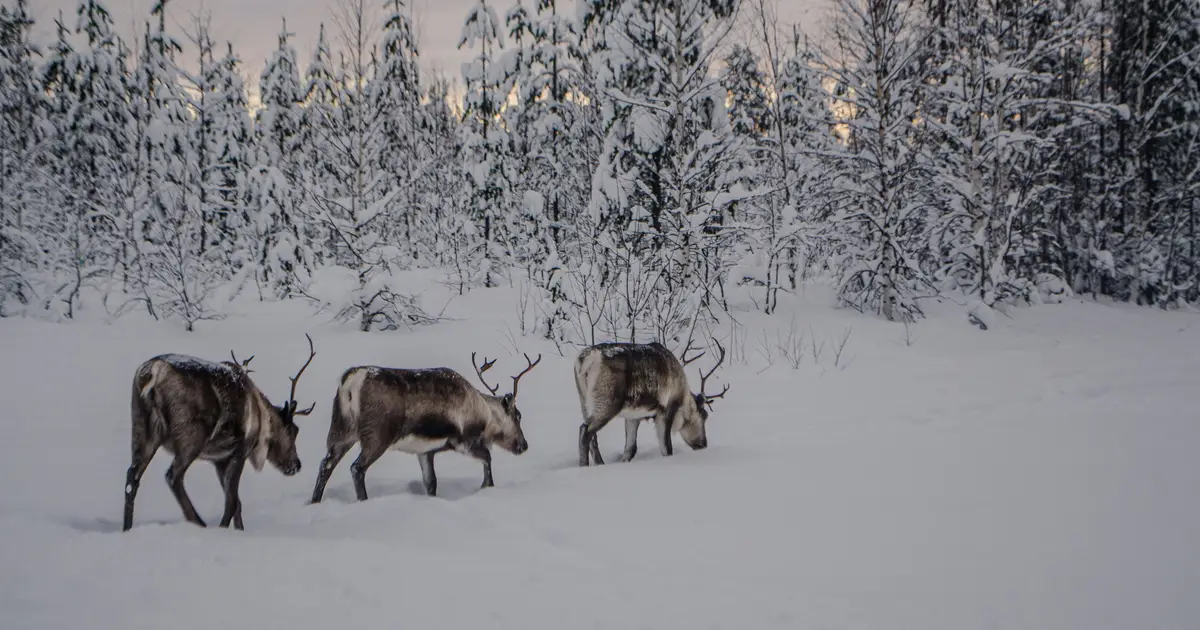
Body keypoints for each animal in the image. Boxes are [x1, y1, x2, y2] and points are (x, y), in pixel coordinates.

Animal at [123, 334, 317, 532]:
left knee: (132, 478)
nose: (296, 465)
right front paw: (224, 528)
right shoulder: (240, 452)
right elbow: (232, 502)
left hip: (142, 427)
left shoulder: (219, 460)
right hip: (191, 436)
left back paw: (127, 528)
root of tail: (154, 372)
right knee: (173, 476)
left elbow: (237, 503)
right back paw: (199, 522)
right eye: (293, 430)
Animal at [309, 352, 541, 503]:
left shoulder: (425, 451)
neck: (484, 413)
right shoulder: (464, 441)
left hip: (342, 430)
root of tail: (349, 382)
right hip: (377, 436)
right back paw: (363, 501)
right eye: (518, 415)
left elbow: (431, 482)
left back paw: (314, 501)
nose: (524, 445)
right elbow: (488, 459)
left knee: (325, 465)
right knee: (357, 468)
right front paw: (487, 487)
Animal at [574, 338, 728, 466]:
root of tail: (585, 360)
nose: (703, 444)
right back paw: (584, 466)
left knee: (592, 436)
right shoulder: (666, 411)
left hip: (584, 401)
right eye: (704, 416)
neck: (683, 397)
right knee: (585, 431)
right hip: (607, 402)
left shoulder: (633, 416)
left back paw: (599, 464)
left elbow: (630, 449)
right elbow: (666, 448)